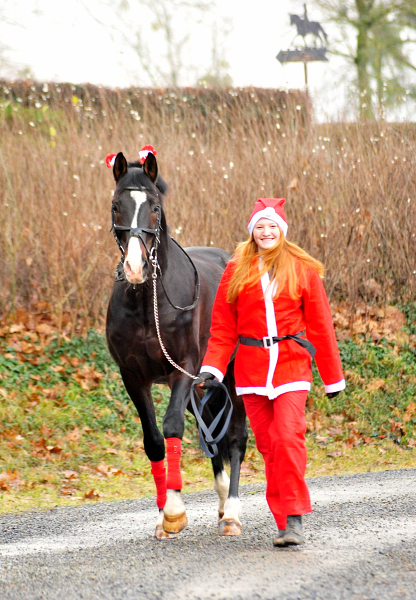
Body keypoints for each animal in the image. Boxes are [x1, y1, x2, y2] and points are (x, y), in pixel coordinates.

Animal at [105, 151, 247, 540]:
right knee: (211, 434)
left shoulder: (182, 370)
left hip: (229, 375)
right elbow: (154, 440)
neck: (148, 302)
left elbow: (171, 428)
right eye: (116, 206)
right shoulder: (133, 376)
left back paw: (231, 512)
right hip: (203, 387)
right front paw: (163, 517)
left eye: (154, 207)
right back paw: (221, 501)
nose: (135, 266)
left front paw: (173, 510)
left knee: (235, 437)